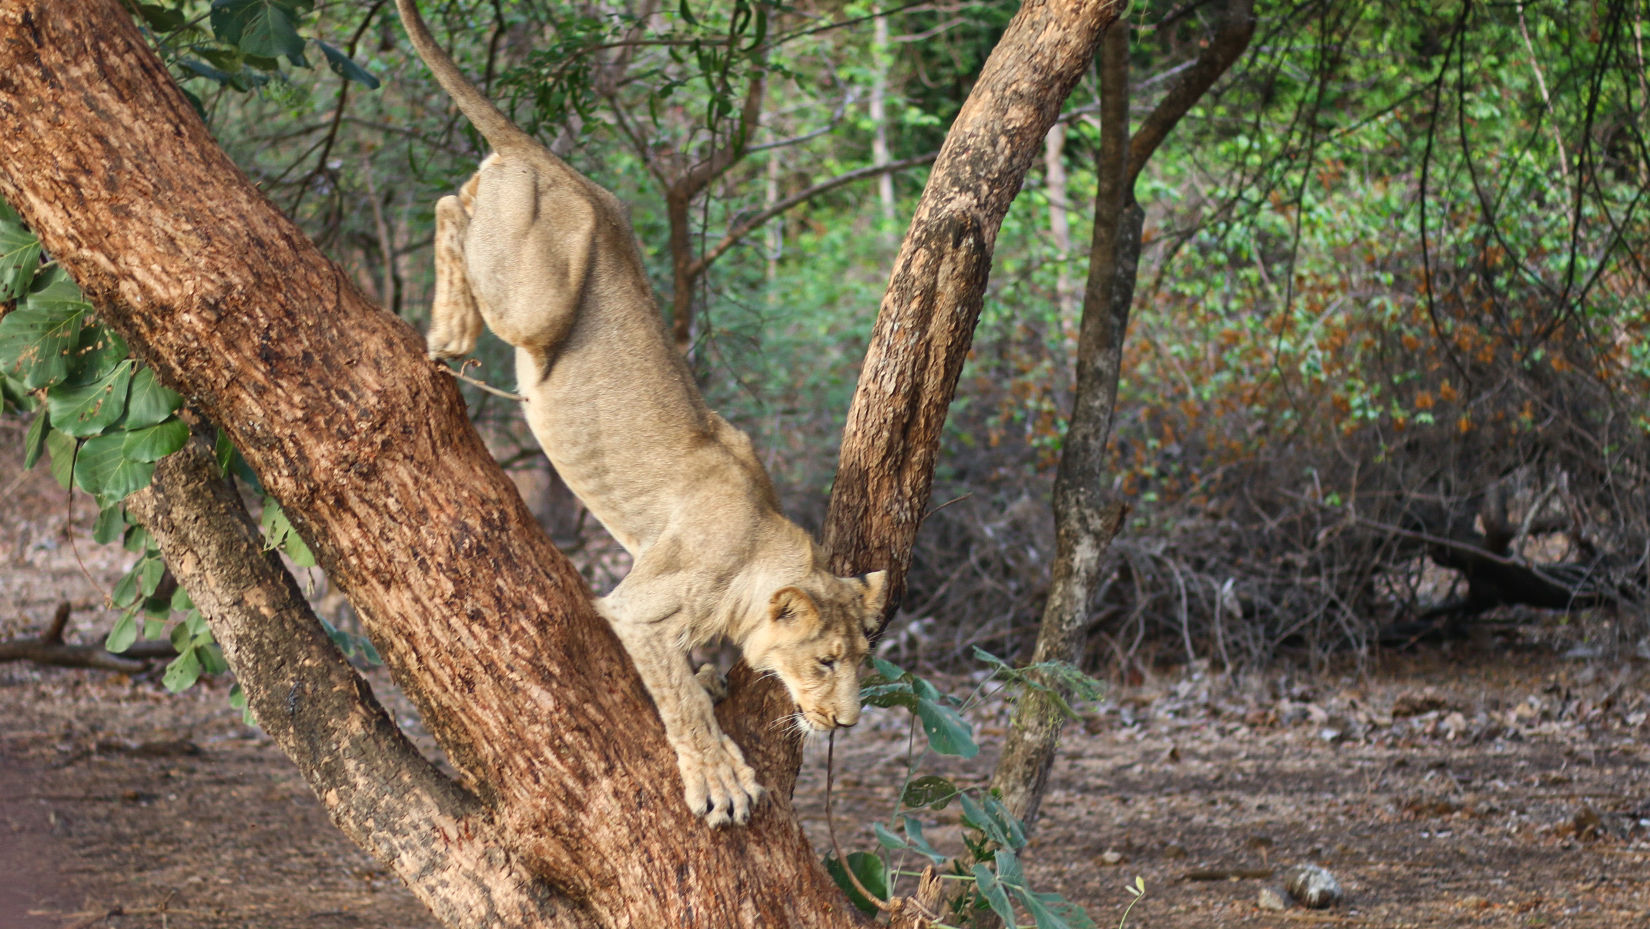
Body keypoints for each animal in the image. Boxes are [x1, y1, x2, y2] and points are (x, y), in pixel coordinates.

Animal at [397, 0, 891, 828]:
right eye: (825, 660)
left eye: (864, 661)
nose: (848, 721)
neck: (762, 543)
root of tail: (557, 164)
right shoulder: (638, 608)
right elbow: (679, 699)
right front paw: (721, 779)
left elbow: (695, 677)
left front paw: (717, 681)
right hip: (540, 302)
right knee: (444, 207)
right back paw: (449, 332)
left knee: (459, 190)